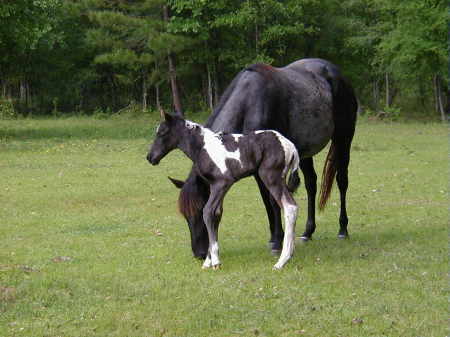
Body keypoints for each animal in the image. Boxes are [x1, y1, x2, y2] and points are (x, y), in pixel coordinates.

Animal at [148, 111, 300, 270]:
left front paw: (214, 261)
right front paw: (208, 260)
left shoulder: (222, 183)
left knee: (289, 207)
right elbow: (217, 214)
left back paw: (282, 260)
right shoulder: (215, 186)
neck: (203, 147)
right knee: (292, 206)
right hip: (280, 178)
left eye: (162, 132)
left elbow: (207, 212)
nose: (150, 157)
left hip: (271, 177)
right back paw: (290, 253)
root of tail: (291, 146)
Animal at [167, 57, 356, 258]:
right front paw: (274, 238)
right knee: (311, 184)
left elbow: (273, 201)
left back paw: (343, 229)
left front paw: (278, 240)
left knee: (342, 181)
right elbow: (267, 202)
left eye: (200, 209)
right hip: (305, 151)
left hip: (344, 138)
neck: (250, 105)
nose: (199, 253)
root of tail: (335, 72)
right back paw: (308, 232)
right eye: (186, 215)